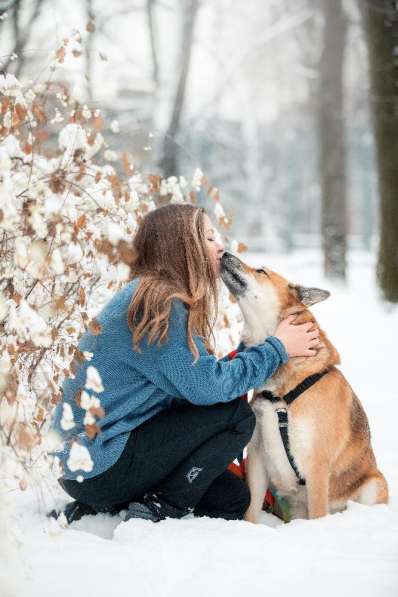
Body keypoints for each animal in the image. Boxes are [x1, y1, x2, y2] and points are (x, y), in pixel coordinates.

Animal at [219, 251, 388, 520]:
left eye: (261, 271)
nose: (225, 253)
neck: (283, 391)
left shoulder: (316, 463)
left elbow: (318, 513)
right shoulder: (256, 456)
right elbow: (251, 510)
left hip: (373, 484)